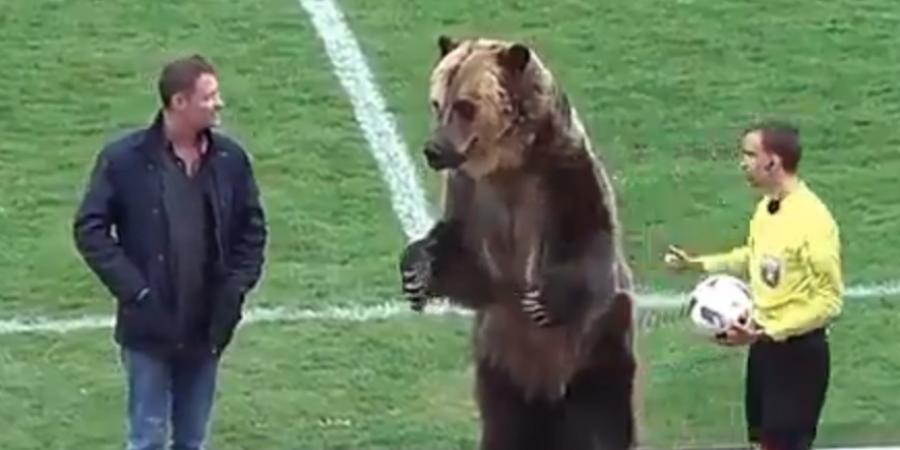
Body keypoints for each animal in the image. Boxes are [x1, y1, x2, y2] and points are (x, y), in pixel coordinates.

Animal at [398, 35, 641, 450]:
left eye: (465, 106)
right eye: (436, 102)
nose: (433, 150)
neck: (507, 166)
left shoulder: (562, 180)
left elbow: (589, 242)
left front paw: (544, 300)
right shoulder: (474, 198)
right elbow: (464, 260)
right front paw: (416, 272)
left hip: (596, 355)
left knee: (600, 424)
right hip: (500, 367)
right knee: (504, 427)